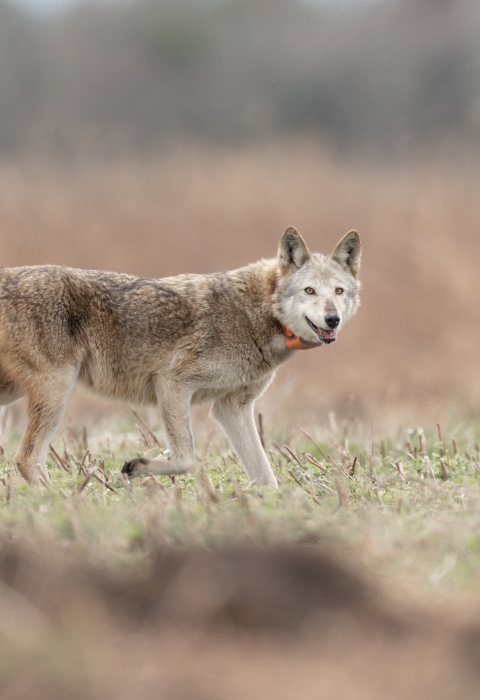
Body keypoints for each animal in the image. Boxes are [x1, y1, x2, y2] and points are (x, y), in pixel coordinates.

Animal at [0, 227, 361, 486]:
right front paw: (136, 467)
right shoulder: (172, 383)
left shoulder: (232, 408)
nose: (332, 319)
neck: (258, 314)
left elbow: (266, 477)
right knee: (26, 459)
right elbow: (186, 458)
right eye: (309, 291)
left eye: (338, 292)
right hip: (58, 391)